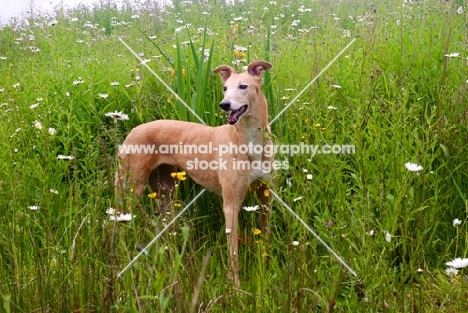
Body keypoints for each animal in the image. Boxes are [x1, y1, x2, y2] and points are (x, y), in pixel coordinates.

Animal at [116, 59, 274, 284]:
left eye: (243, 86)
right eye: (225, 88)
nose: (224, 105)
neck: (249, 141)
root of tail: (133, 130)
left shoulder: (266, 197)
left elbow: (266, 234)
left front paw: (268, 264)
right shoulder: (231, 204)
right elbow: (233, 252)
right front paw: (235, 285)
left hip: (165, 191)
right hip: (130, 189)